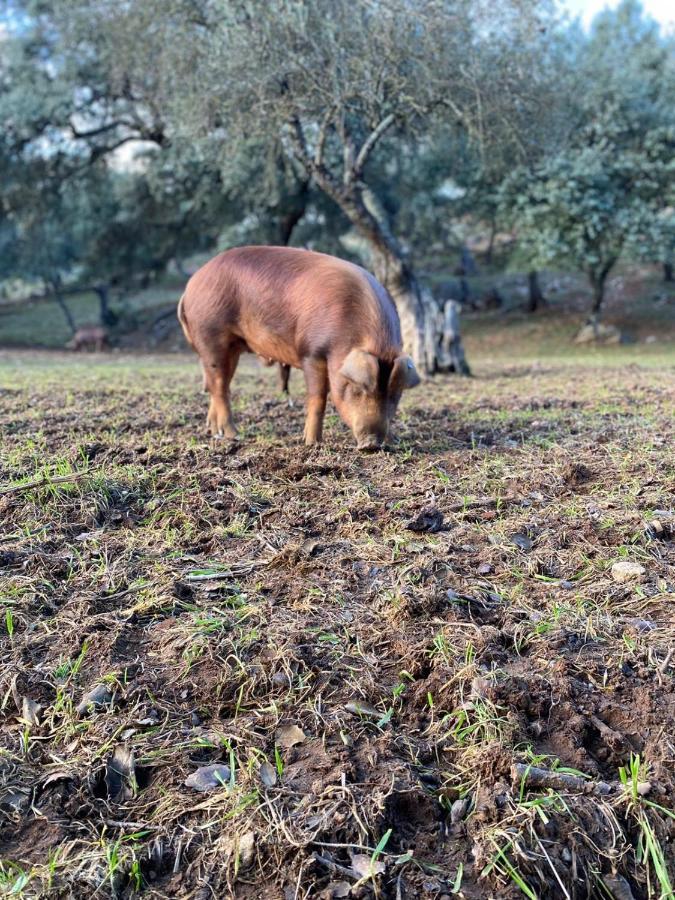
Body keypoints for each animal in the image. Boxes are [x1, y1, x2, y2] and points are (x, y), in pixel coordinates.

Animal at [177, 244, 420, 448]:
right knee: (219, 387)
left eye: (395, 393)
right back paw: (233, 435)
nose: (371, 444)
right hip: (211, 334)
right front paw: (312, 443)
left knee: (219, 385)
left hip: (232, 347)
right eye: (357, 388)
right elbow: (318, 398)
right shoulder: (312, 353)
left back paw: (214, 431)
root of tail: (190, 285)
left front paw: (394, 440)